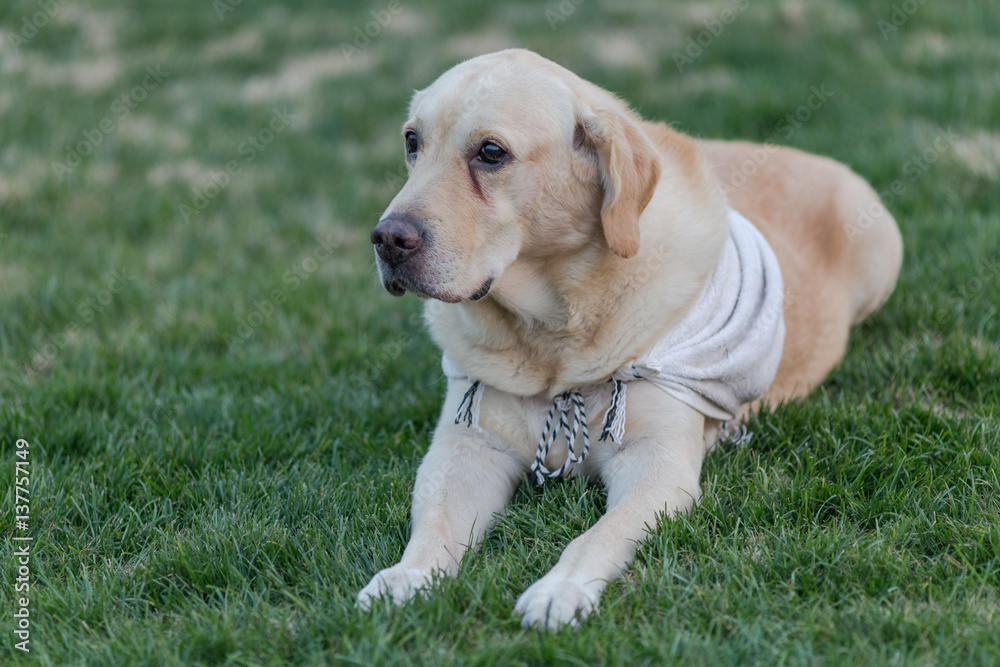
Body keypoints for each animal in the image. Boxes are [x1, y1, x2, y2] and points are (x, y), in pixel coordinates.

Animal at [356, 49, 904, 628]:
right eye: (412, 141)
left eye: (490, 152)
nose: (388, 238)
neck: (551, 336)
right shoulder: (465, 448)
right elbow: (435, 526)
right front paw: (405, 577)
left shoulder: (656, 465)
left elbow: (597, 536)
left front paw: (560, 588)